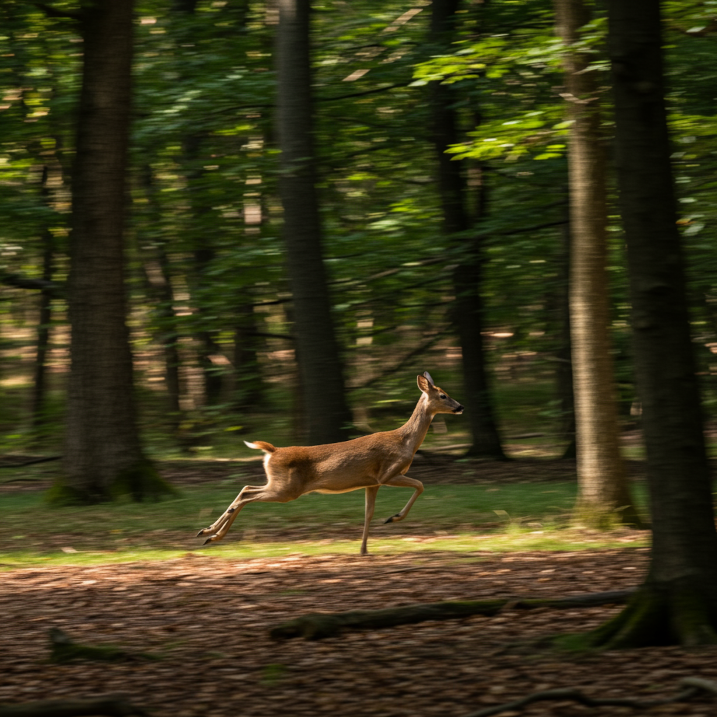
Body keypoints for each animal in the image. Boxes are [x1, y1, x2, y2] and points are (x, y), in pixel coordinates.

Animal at [194, 372, 464, 556]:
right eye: (443, 395)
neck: (405, 442)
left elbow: (368, 513)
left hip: (280, 485)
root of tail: (272, 451)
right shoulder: (388, 473)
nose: (460, 406)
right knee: (247, 495)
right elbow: (420, 484)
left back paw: (207, 533)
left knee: (246, 488)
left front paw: (364, 549)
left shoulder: (371, 483)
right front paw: (394, 518)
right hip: (287, 490)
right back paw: (211, 534)